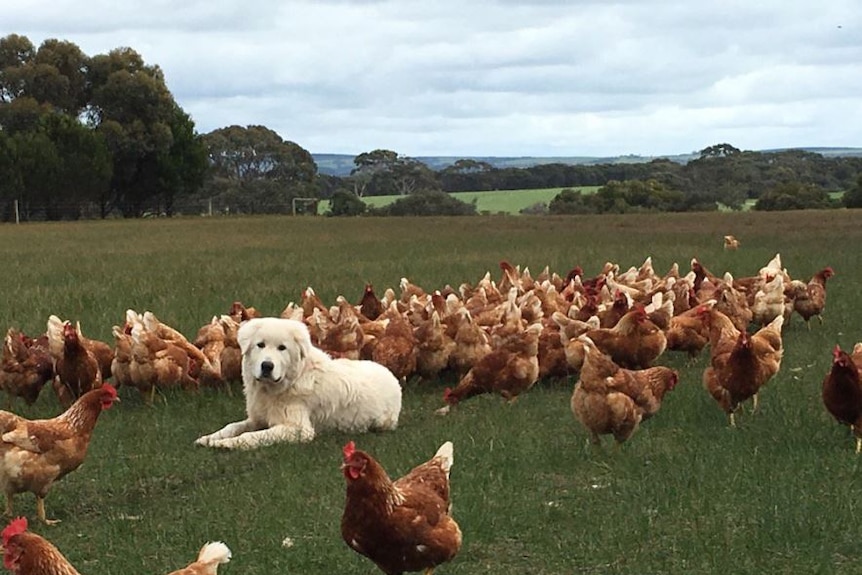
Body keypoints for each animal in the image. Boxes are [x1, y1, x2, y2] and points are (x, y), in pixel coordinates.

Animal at [194, 320, 404, 450]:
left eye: (282, 348)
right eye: (260, 345)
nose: (267, 366)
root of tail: (390, 375)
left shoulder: (299, 429)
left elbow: (252, 436)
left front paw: (227, 444)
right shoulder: (257, 419)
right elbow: (231, 426)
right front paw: (209, 438)